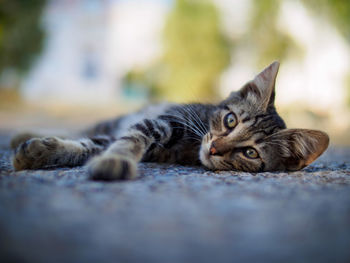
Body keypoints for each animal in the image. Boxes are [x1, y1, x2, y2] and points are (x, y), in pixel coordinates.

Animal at [10, 62, 328, 182]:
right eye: (230, 120)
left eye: (250, 153)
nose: (214, 148)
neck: (189, 147)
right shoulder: (158, 121)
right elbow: (127, 140)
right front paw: (116, 159)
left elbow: (92, 146)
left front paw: (42, 152)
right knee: (90, 128)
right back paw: (22, 133)